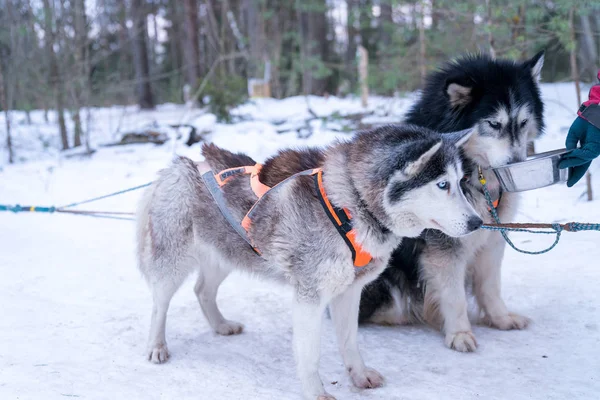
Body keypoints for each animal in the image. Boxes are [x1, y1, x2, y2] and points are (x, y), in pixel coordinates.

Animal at [137, 125, 482, 400]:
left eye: (460, 181)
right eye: (442, 185)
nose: (478, 222)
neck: (351, 204)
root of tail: (181, 164)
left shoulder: (349, 292)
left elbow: (349, 342)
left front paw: (358, 376)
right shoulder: (310, 297)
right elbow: (310, 354)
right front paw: (316, 393)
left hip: (225, 255)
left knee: (202, 290)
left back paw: (221, 325)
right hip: (174, 262)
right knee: (159, 304)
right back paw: (156, 346)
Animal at [358, 51, 548, 352]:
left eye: (523, 123)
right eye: (494, 124)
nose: (516, 164)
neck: (473, 173)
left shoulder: (492, 239)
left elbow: (490, 285)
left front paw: (500, 318)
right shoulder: (444, 248)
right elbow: (454, 294)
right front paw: (460, 333)